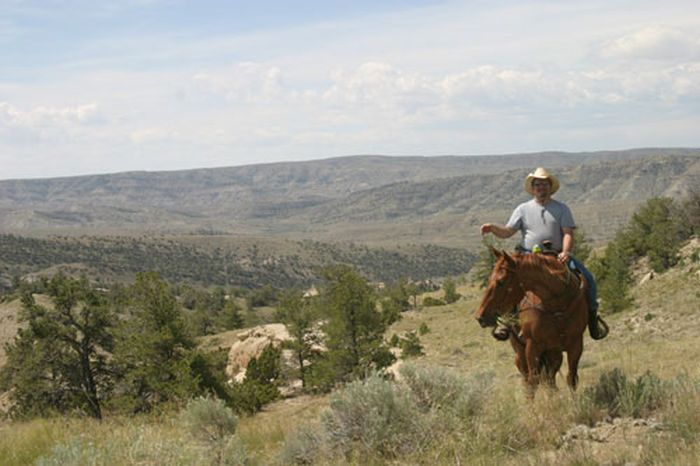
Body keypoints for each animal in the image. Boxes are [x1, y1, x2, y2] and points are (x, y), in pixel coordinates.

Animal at [476, 248, 592, 396]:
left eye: (501, 281)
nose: (480, 317)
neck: (557, 306)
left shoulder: (575, 344)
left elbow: (571, 378)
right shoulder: (533, 347)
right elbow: (532, 383)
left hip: (553, 354)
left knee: (550, 380)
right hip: (521, 354)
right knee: (529, 379)